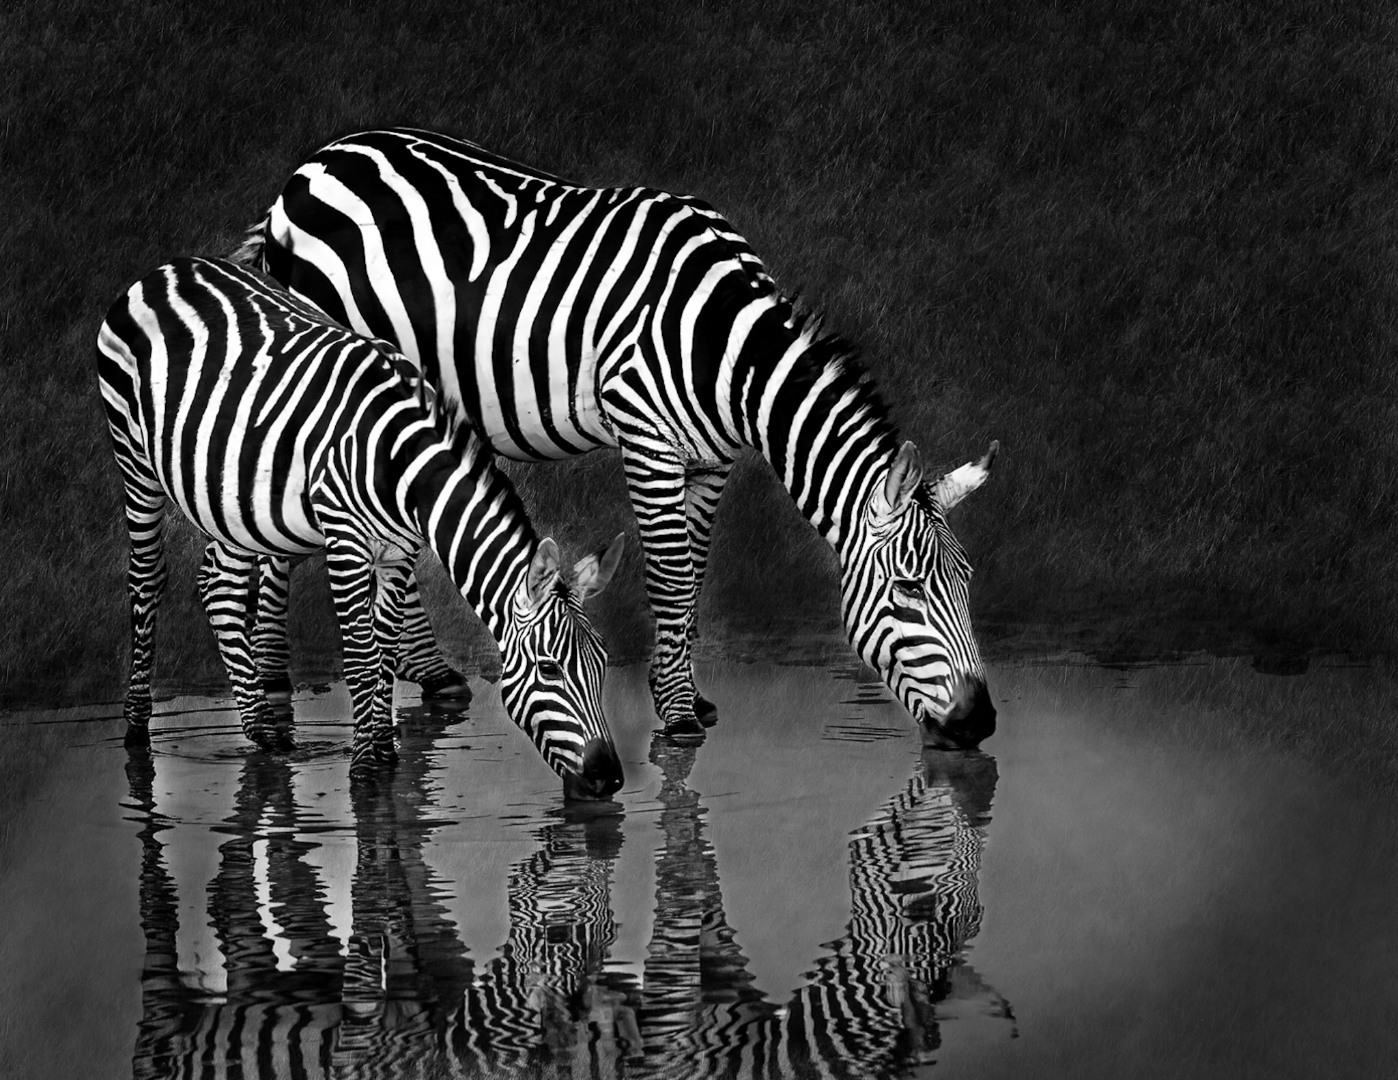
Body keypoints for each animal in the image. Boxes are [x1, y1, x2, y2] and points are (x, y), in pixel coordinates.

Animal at [97, 255, 625, 791]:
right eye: (550, 669)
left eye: (603, 662)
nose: (609, 778)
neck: (403, 462)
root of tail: (172, 266)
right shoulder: (345, 542)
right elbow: (360, 655)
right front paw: (365, 767)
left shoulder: (399, 550)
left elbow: (384, 651)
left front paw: (384, 751)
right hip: (134, 458)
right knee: (146, 580)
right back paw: (138, 729)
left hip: (236, 496)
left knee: (220, 583)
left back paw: (264, 732)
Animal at [233, 127, 999, 745]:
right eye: (907, 591)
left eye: (967, 583)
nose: (981, 723)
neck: (724, 347)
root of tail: (309, 168)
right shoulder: (647, 440)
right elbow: (671, 577)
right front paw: (679, 716)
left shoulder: (710, 461)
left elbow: (693, 577)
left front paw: (684, 693)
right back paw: (272, 691)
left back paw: (426, 673)